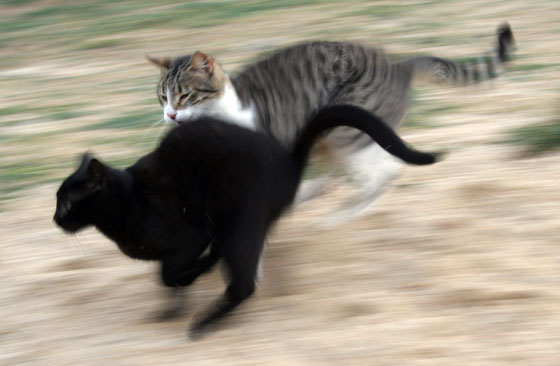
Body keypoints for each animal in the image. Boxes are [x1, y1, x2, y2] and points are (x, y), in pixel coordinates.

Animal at [53, 104, 442, 336]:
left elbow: (171, 274)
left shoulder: (191, 237)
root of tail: (288, 163)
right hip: (239, 227)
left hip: (239, 223)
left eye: (68, 202)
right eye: (57, 200)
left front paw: (191, 281)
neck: (130, 199)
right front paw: (173, 305)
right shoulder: (185, 245)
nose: (55, 218)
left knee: (243, 285)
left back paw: (204, 324)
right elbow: (166, 278)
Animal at [147, 22, 516, 223]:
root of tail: (397, 65)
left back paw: (338, 216)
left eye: (184, 96)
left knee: (383, 175)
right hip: (331, 140)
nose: (170, 116)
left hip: (344, 132)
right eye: (163, 97)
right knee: (380, 170)